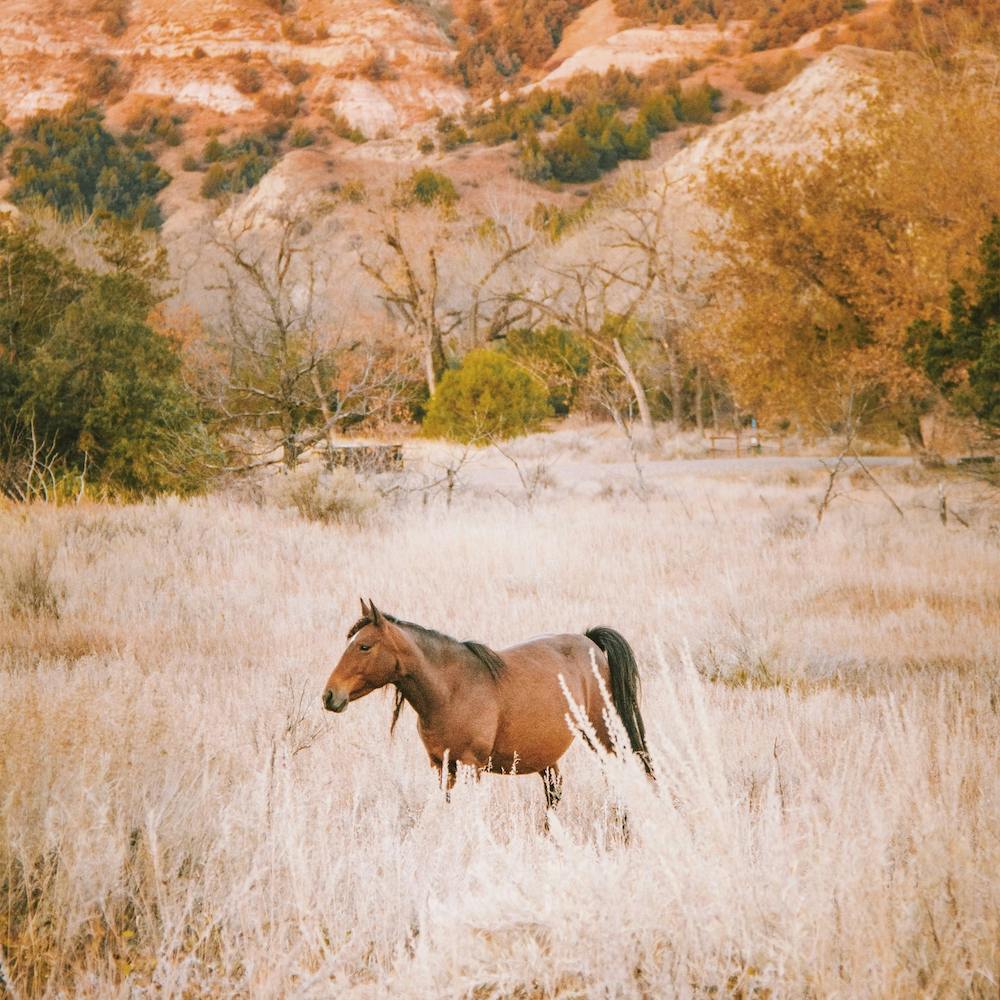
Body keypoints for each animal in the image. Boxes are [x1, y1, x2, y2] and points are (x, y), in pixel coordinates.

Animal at [321, 599, 653, 808]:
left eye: (364, 646)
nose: (329, 695)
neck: (450, 691)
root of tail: (590, 642)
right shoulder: (442, 766)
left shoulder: (471, 766)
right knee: (554, 790)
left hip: (603, 736)